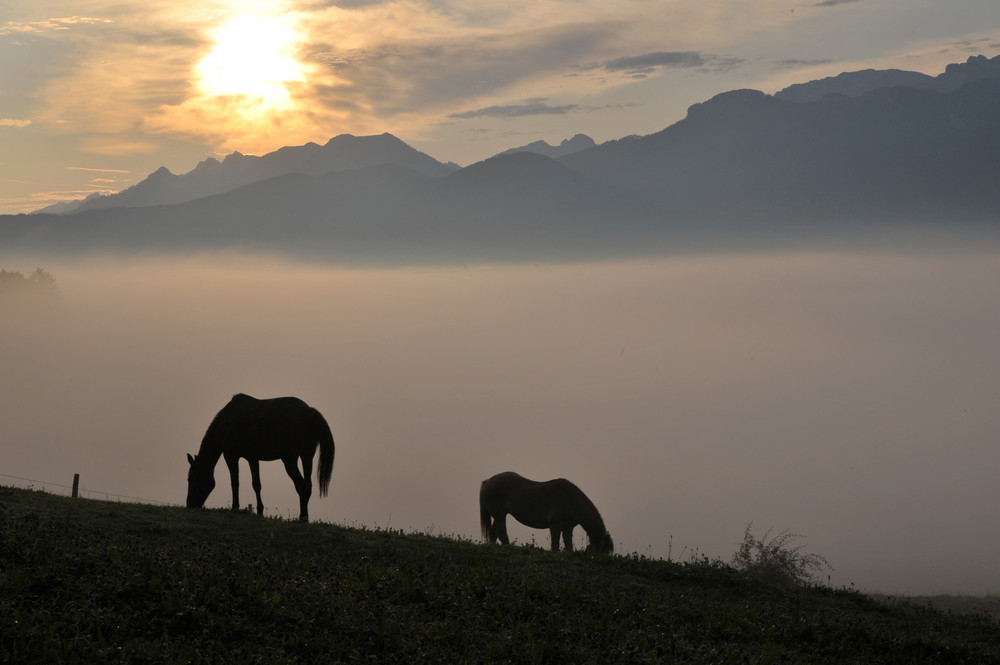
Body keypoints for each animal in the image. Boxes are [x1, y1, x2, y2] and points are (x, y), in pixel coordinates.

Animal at [184, 392, 332, 520]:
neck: (227, 421)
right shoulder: (253, 458)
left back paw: (302, 517)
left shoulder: (230, 456)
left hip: (290, 460)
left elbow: (235, 482)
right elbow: (256, 484)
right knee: (308, 485)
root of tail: (307, 411)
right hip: (306, 457)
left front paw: (235, 507)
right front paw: (260, 510)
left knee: (301, 486)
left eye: (191, 478)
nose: (189, 504)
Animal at [480, 470, 612, 552]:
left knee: (493, 534)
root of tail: (487, 481)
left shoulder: (568, 527)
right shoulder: (555, 525)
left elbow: (569, 546)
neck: (570, 499)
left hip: (500, 514)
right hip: (499, 514)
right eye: (602, 548)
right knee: (502, 533)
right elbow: (555, 546)